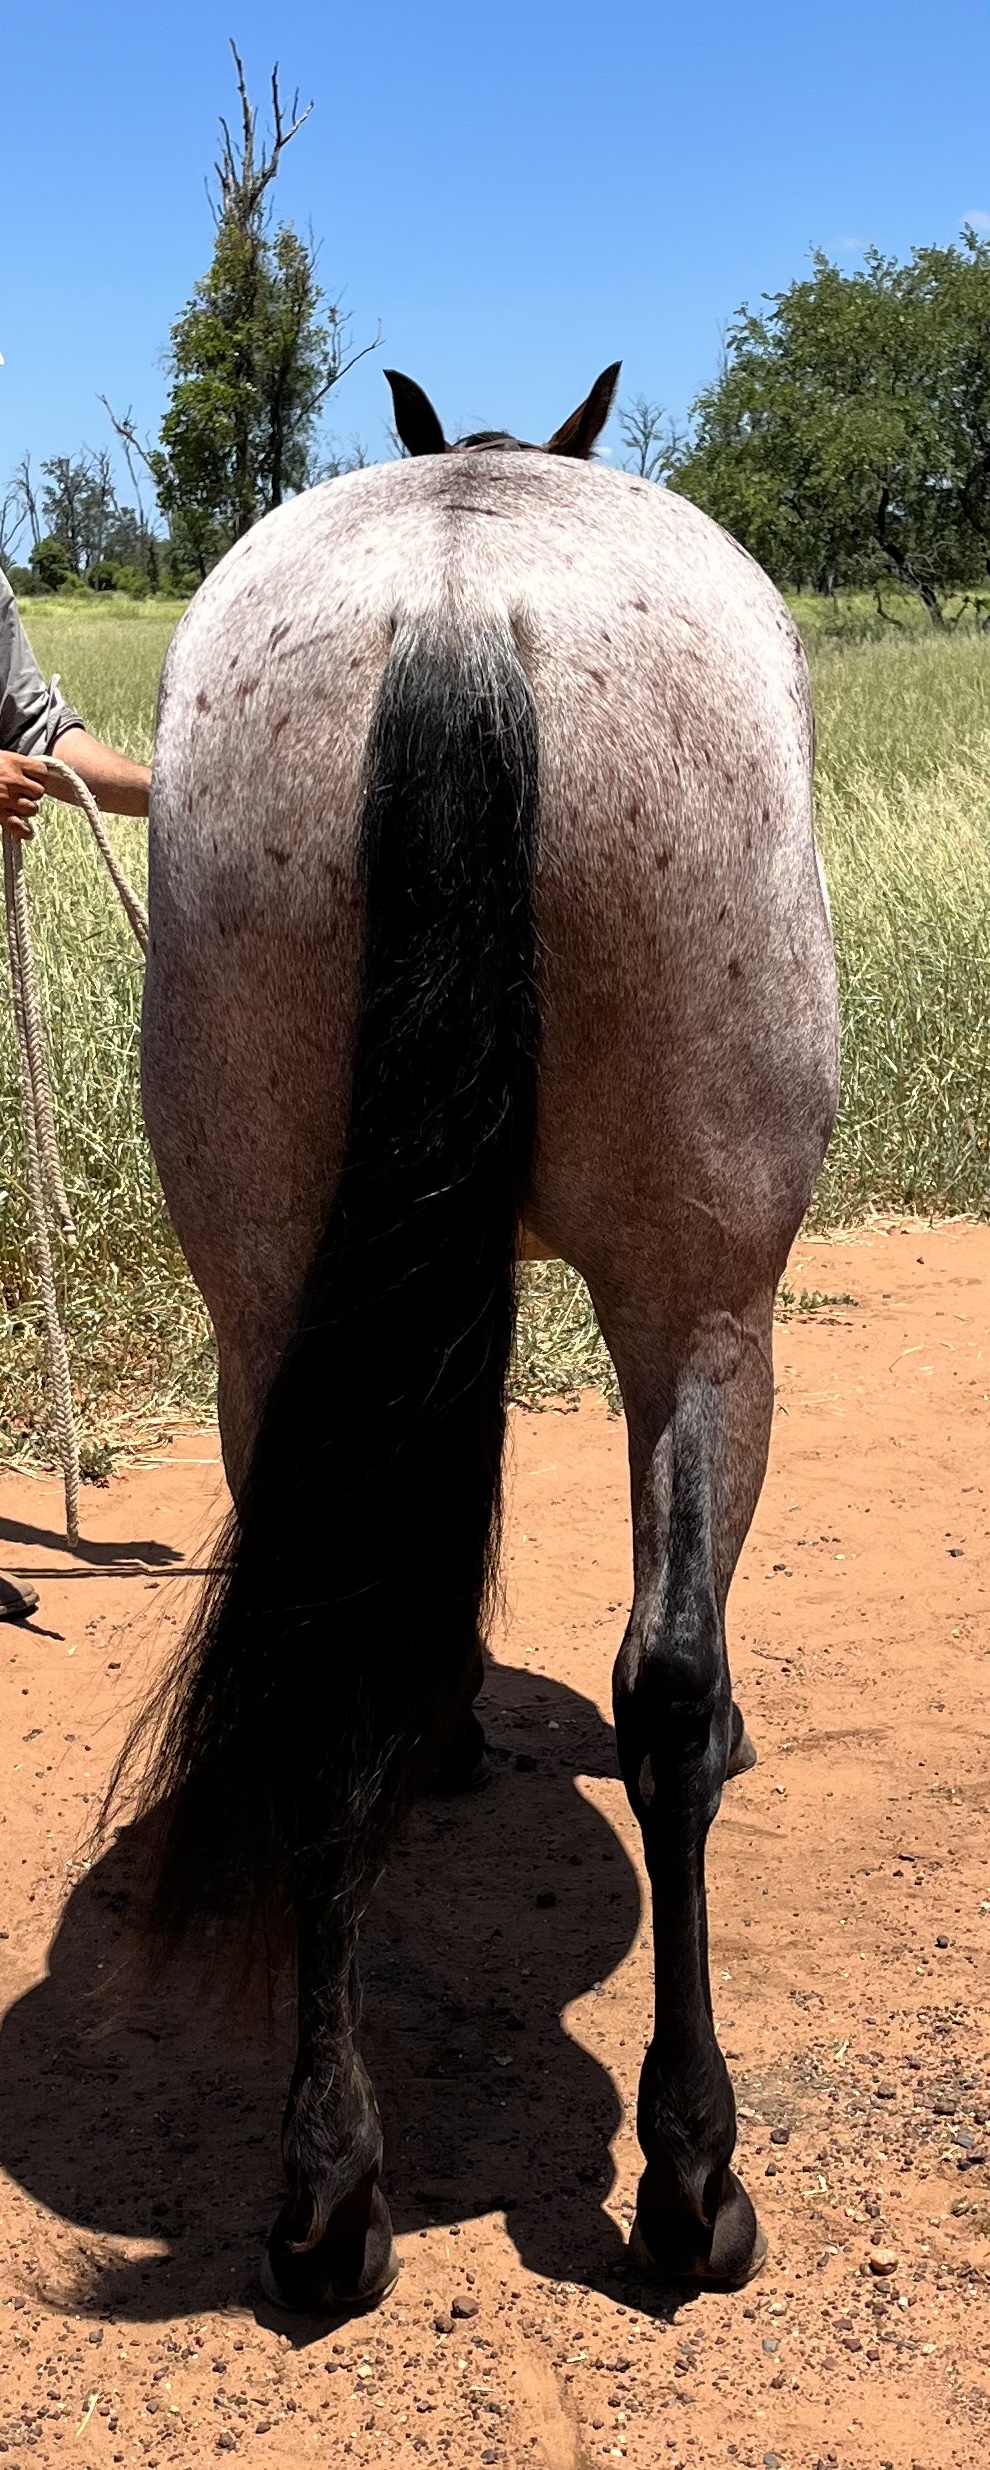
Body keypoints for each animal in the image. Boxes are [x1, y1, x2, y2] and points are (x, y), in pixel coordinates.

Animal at [116, 360, 839, 2314]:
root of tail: (455, 603)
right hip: (706, 1309)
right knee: (670, 1691)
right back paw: (690, 2181)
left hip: (269, 1310)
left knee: (317, 1657)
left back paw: (326, 2196)